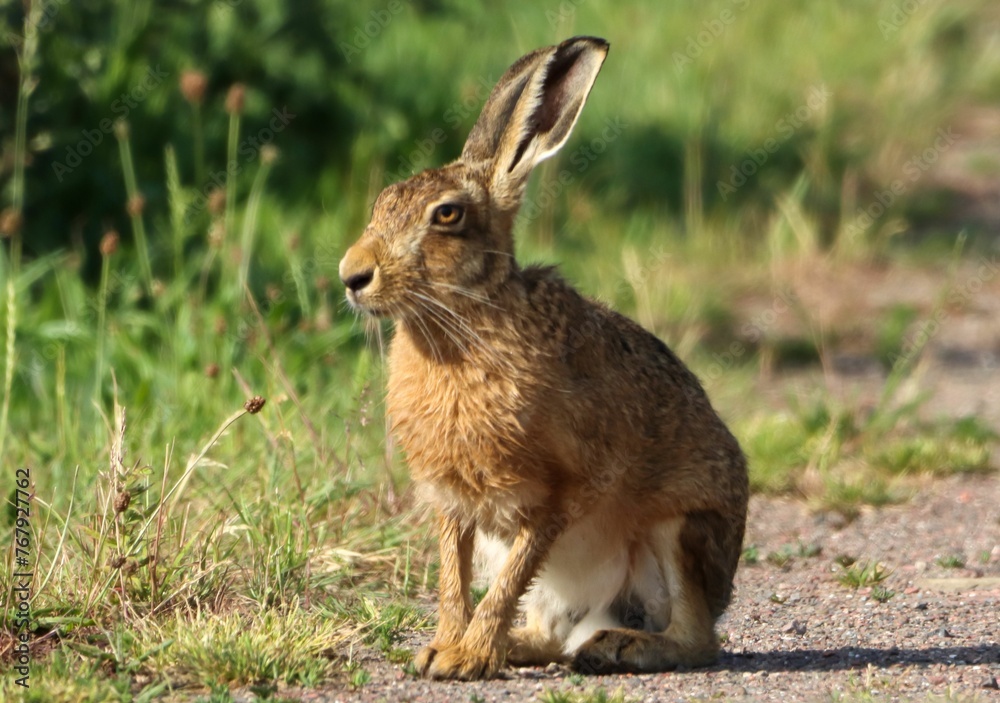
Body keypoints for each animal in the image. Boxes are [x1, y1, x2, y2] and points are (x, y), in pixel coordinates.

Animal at [338, 35, 749, 681]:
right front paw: (441, 650)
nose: (352, 276)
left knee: (696, 638)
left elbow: (507, 580)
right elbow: (454, 581)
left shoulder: (558, 491)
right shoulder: (453, 504)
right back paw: (527, 645)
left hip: (679, 531)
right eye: (382, 203)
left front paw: (466, 658)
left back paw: (615, 646)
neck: (466, 318)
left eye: (447, 215)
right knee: (552, 633)